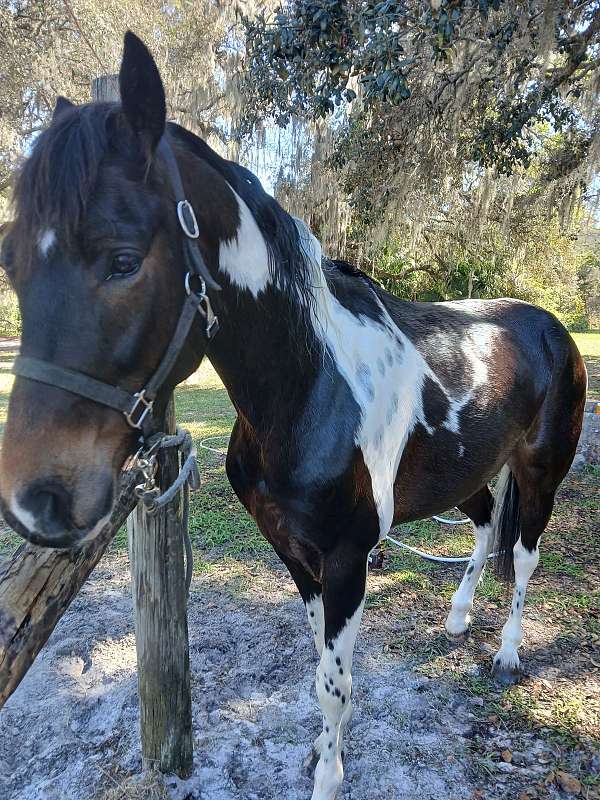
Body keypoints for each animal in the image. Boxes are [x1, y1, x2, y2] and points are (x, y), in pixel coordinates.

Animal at [0, 32, 587, 800]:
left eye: (123, 260)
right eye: (10, 261)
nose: (33, 501)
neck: (310, 388)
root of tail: (550, 327)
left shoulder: (345, 561)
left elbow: (334, 685)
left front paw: (328, 774)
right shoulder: (295, 554)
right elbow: (321, 674)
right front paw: (323, 750)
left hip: (542, 473)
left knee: (523, 558)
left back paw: (510, 655)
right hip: (468, 474)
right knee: (488, 528)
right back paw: (459, 621)